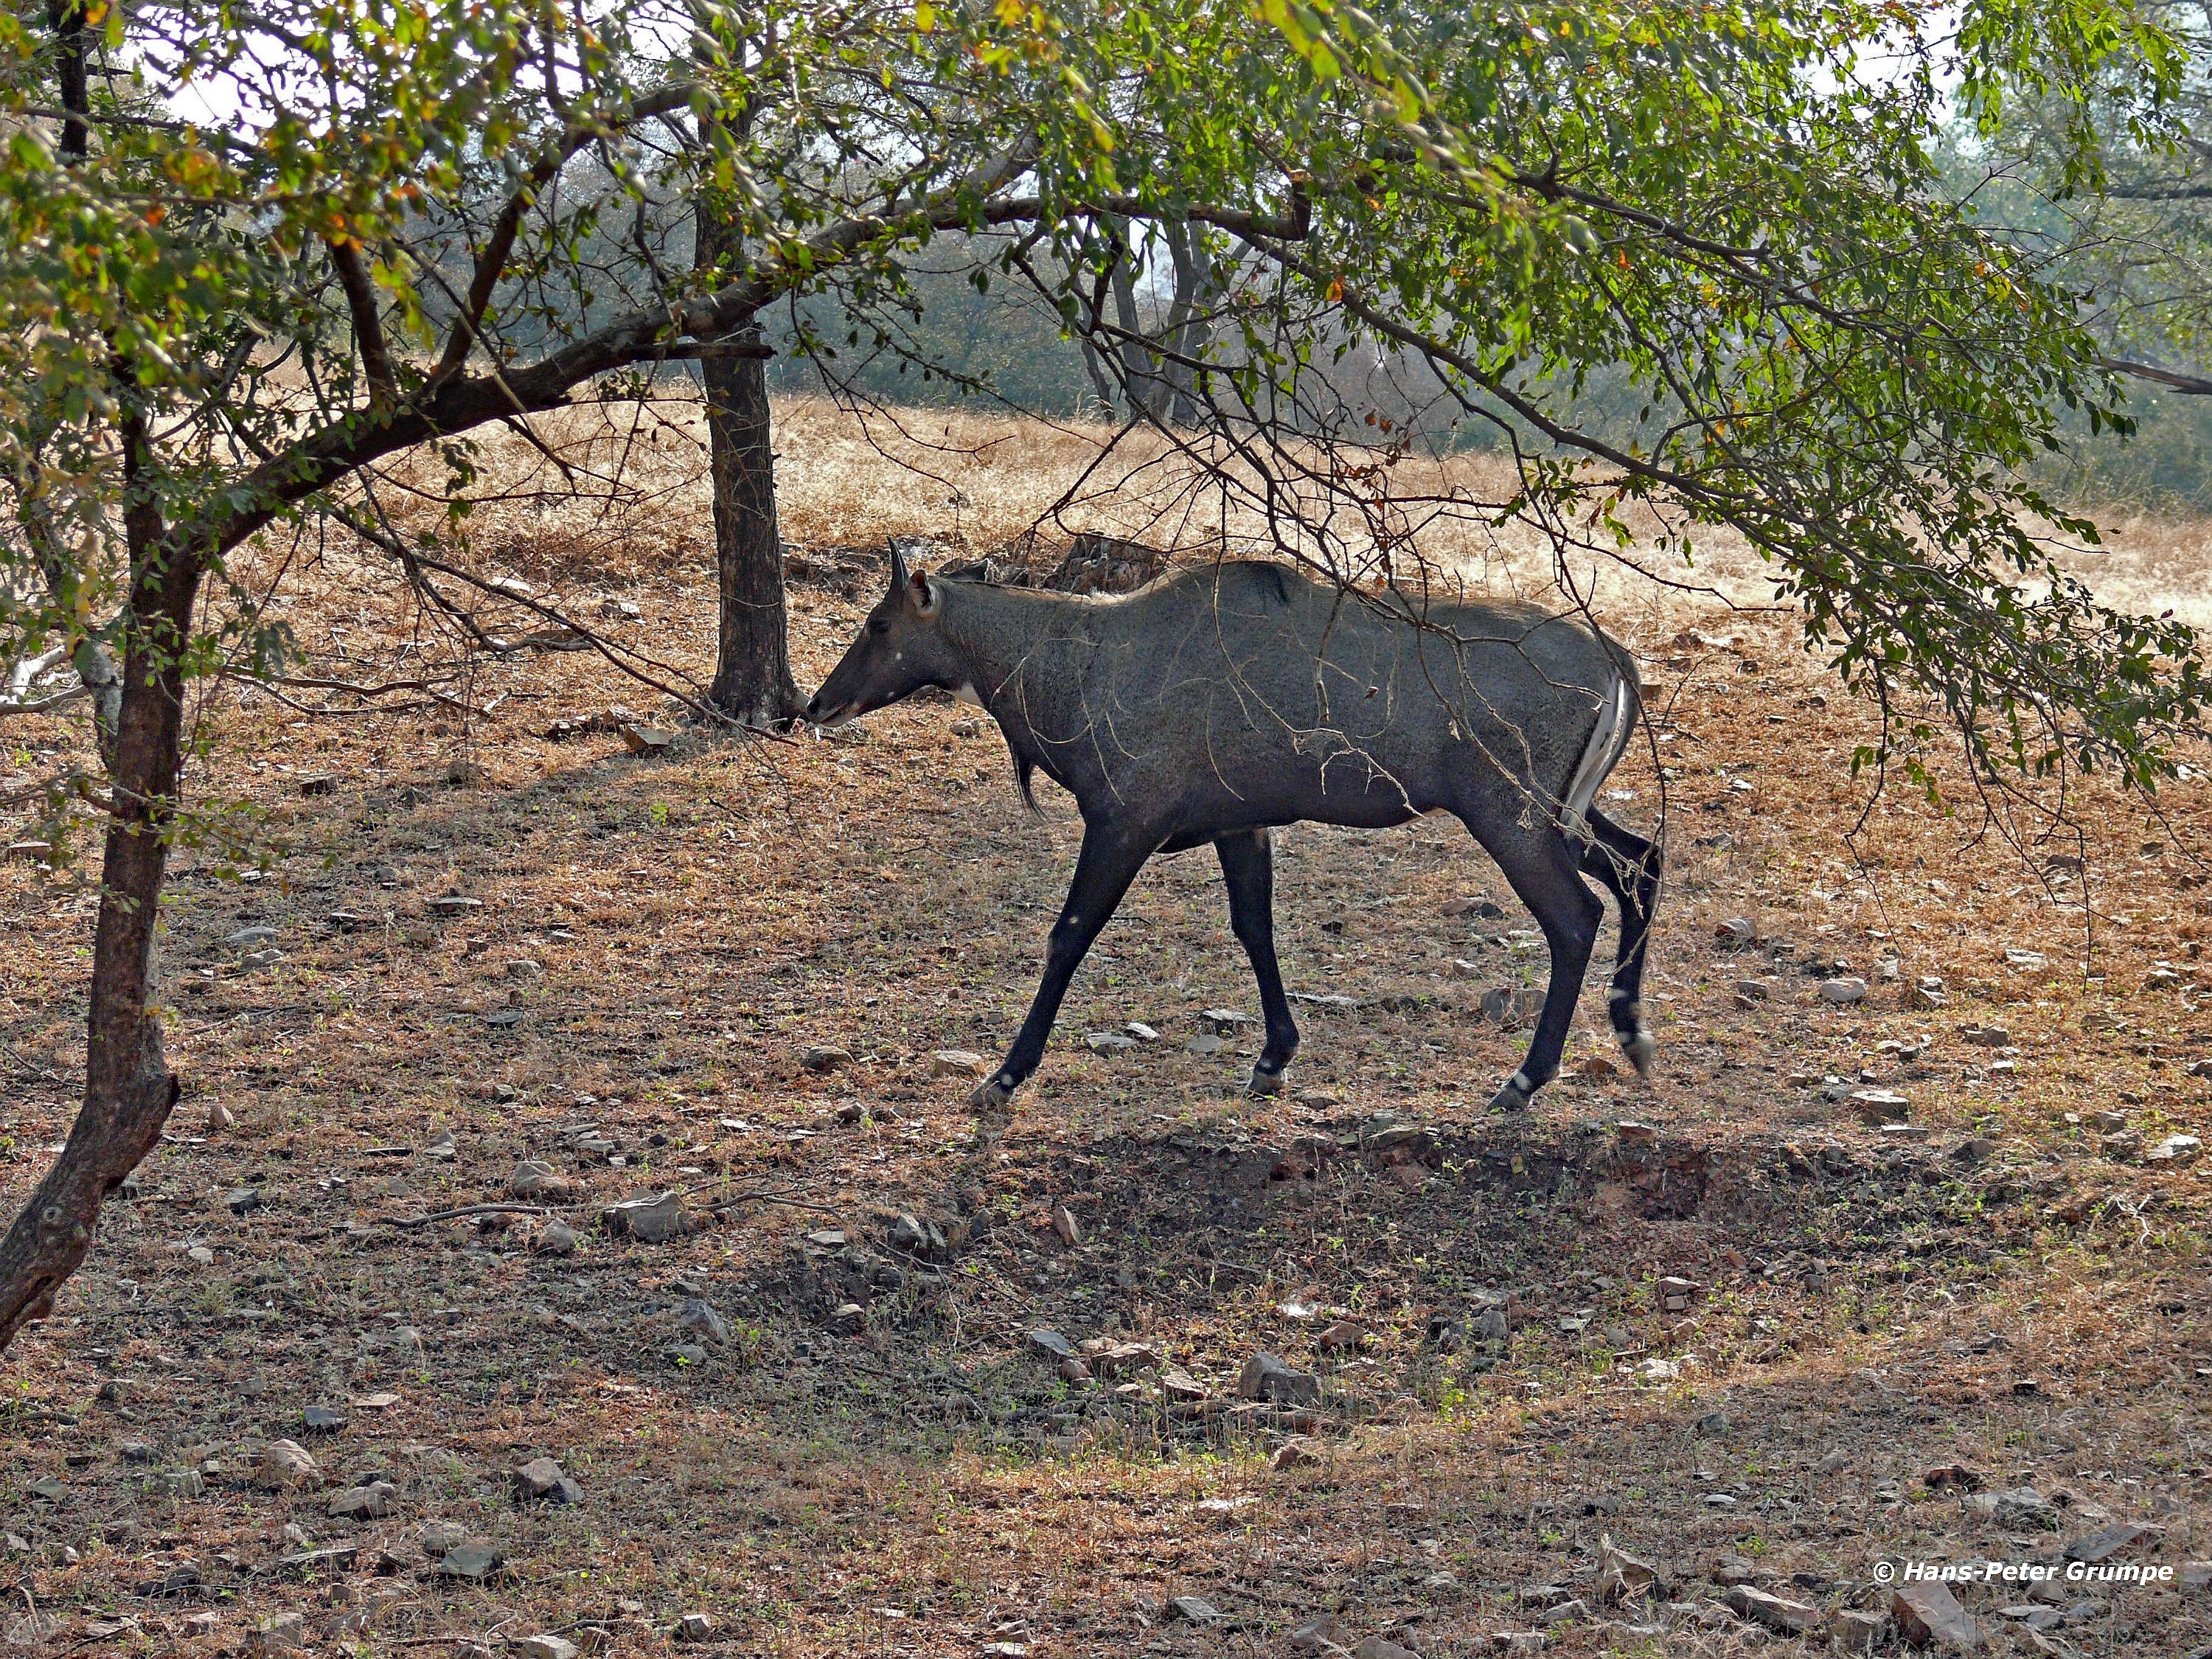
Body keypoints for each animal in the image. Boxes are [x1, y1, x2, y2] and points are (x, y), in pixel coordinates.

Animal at [805, 544, 1659, 1115]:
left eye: (878, 624)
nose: (817, 704)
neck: (1078, 665)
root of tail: (1616, 659)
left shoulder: (1124, 820)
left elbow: (1068, 934)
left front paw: (1004, 1075)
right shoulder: (1240, 825)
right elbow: (1255, 928)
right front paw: (1274, 1059)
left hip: (1509, 813)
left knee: (1577, 915)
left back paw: (1524, 1079)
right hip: (1561, 811)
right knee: (1641, 863)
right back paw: (1631, 1034)